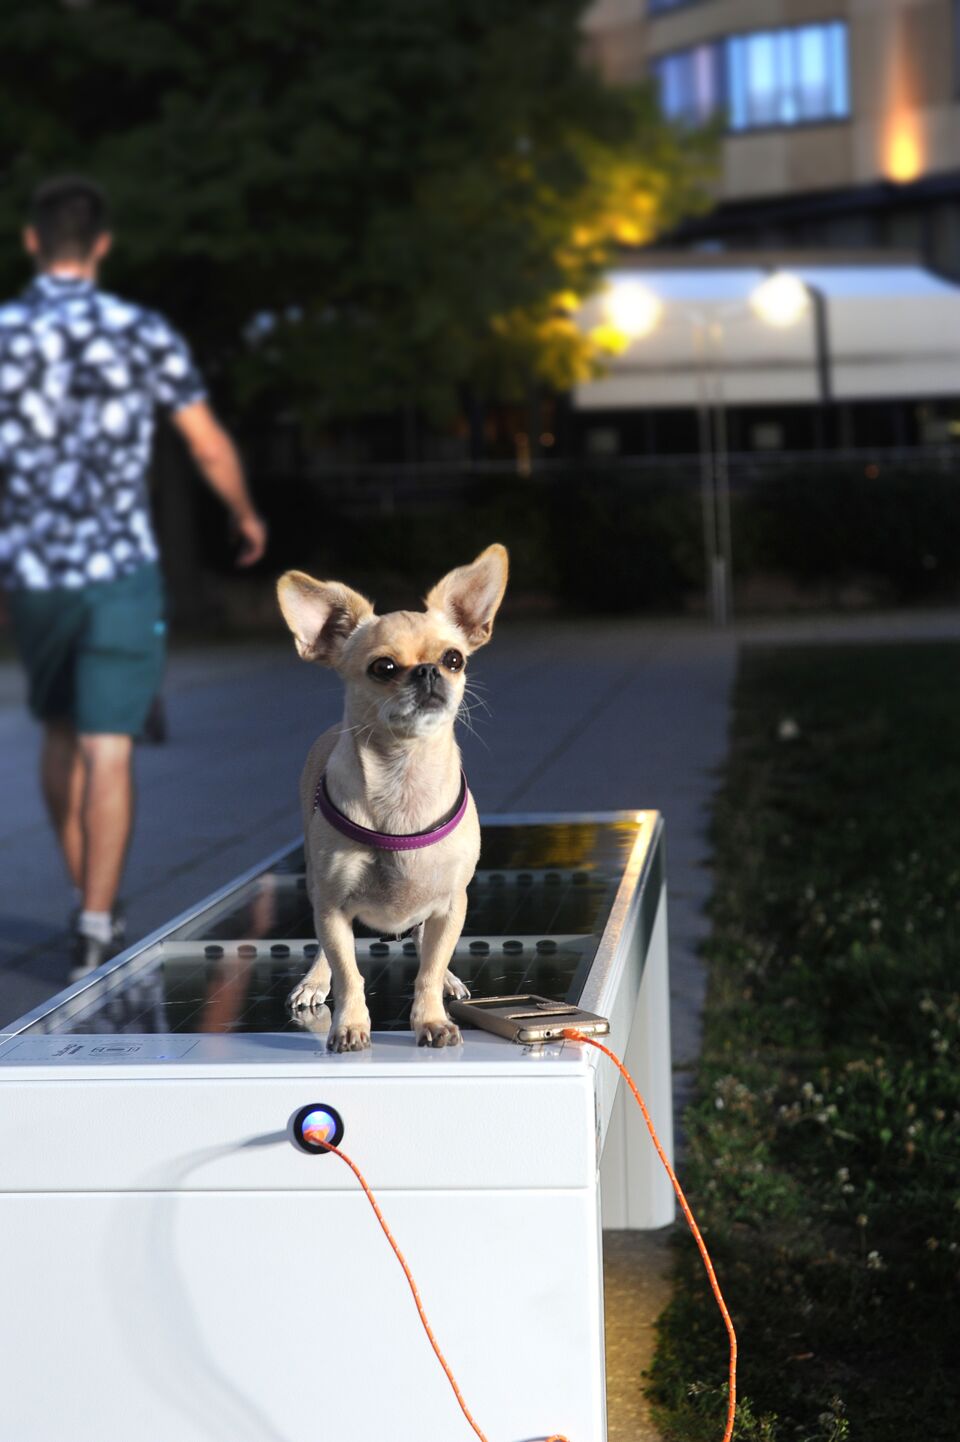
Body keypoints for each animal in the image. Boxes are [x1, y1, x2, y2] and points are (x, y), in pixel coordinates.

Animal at [272, 542, 504, 1049]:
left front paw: (432, 1017)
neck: (404, 773)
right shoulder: (333, 910)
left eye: (454, 659)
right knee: (327, 952)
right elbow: (348, 973)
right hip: (317, 886)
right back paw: (315, 980)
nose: (429, 672)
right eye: (384, 668)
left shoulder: (452, 903)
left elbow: (429, 969)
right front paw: (349, 1025)